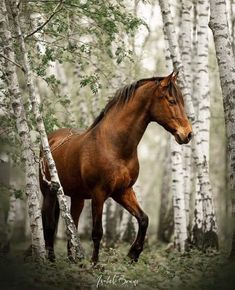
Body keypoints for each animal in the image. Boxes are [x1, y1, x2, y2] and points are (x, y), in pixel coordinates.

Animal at [39, 71, 192, 264]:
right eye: (172, 101)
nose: (188, 134)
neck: (113, 145)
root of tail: (50, 140)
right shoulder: (99, 194)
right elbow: (97, 232)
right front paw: (95, 263)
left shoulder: (123, 191)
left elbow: (143, 219)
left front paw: (133, 253)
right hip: (49, 193)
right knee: (48, 224)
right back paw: (51, 259)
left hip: (77, 197)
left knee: (72, 224)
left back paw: (74, 259)